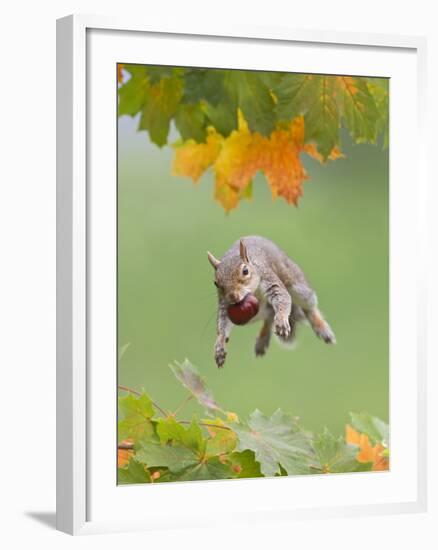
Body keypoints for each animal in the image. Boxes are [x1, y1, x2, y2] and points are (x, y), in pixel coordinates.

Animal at [206, 237, 336, 370]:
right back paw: (262, 339)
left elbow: (282, 297)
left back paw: (321, 328)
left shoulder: (268, 277)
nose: (233, 296)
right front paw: (220, 346)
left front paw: (281, 320)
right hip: (255, 314)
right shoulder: (224, 304)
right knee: (269, 318)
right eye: (215, 283)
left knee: (309, 308)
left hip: (298, 287)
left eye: (245, 271)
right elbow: (223, 323)